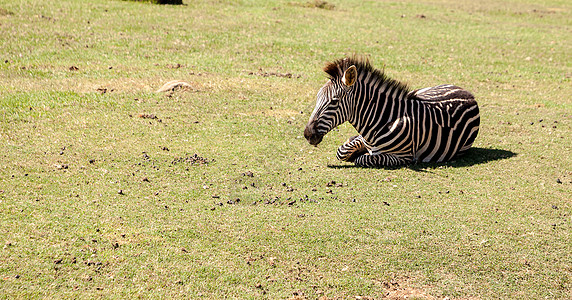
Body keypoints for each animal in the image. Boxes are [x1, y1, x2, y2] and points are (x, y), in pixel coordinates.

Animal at [302, 56, 480, 169]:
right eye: (317, 97)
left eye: (334, 101)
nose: (307, 134)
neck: (382, 120)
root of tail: (467, 92)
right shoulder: (362, 138)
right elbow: (342, 151)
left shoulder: (403, 157)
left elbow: (363, 159)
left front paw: (358, 154)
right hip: (421, 91)